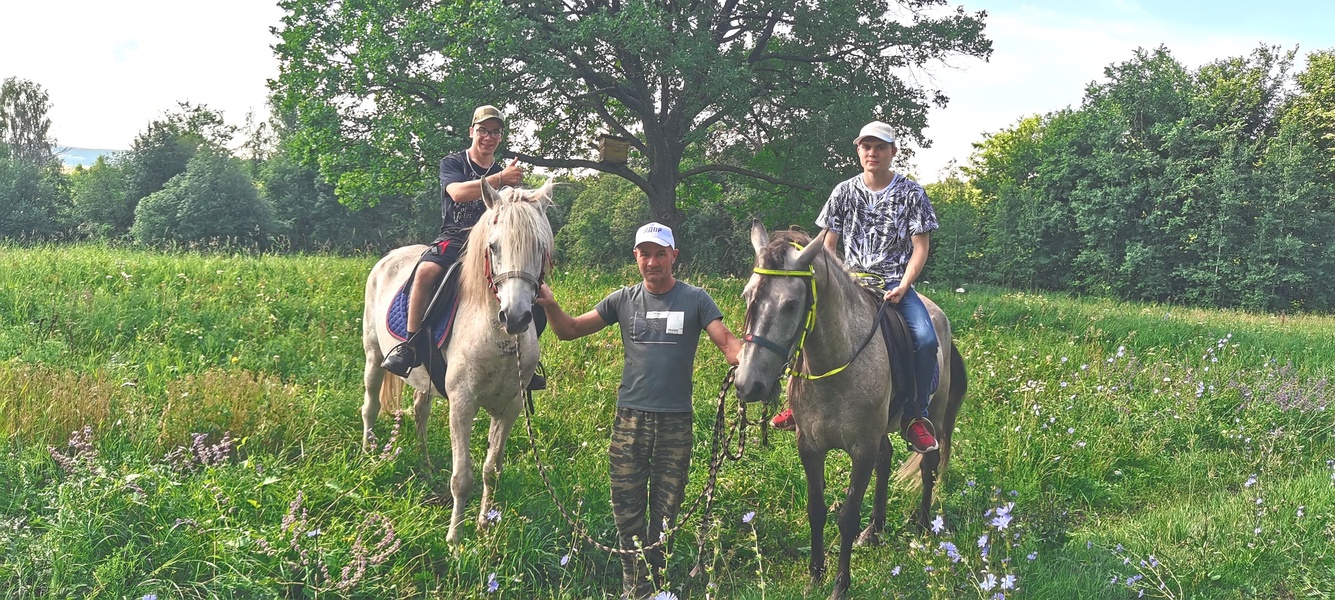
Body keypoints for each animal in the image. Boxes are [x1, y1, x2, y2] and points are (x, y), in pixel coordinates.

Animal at [360, 177, 552, 542]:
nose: (516, 317)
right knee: (370, 407)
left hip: (423, 379)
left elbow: (492, 469)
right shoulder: (462, 403)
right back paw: (368, 455)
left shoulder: (511, 406)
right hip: (373, 356)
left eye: (540, 248)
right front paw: (455, 539)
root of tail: (389, 257)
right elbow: (462, 477)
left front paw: (484, 525)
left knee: (419, 412)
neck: (497, 339)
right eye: (493, 247)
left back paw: (425, 467)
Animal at [736, 221, 966, 598]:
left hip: (932, 412)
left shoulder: (862, 449)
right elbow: (816, 510)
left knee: (929, 465)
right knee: (886, 460)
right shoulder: (810, 447)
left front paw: (840, 585)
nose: (746, 384)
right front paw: (815, 576)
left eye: (791, 305)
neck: (835, 364)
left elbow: (847, 516)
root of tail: (940, 316)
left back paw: (922, 525)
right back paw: (875, 531)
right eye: (747, 295)